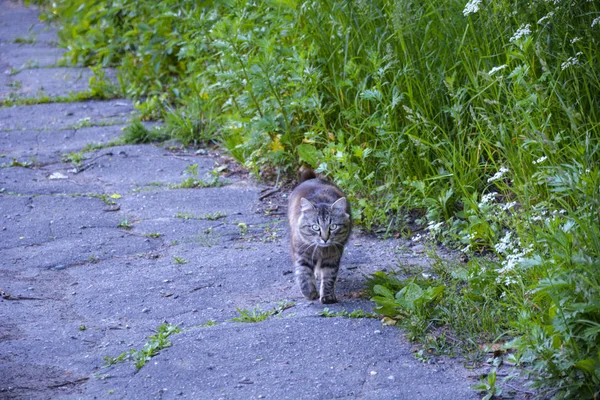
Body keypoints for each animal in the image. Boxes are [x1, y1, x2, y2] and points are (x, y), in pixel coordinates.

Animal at [288, 169, 352, 304]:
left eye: (333, 226)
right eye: (315, 227)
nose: (325, 238)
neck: (320, 249)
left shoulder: (333, 256)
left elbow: (329, 277)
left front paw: (327, 296)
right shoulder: (302, 253)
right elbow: (303, 274)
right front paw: (310, 292)